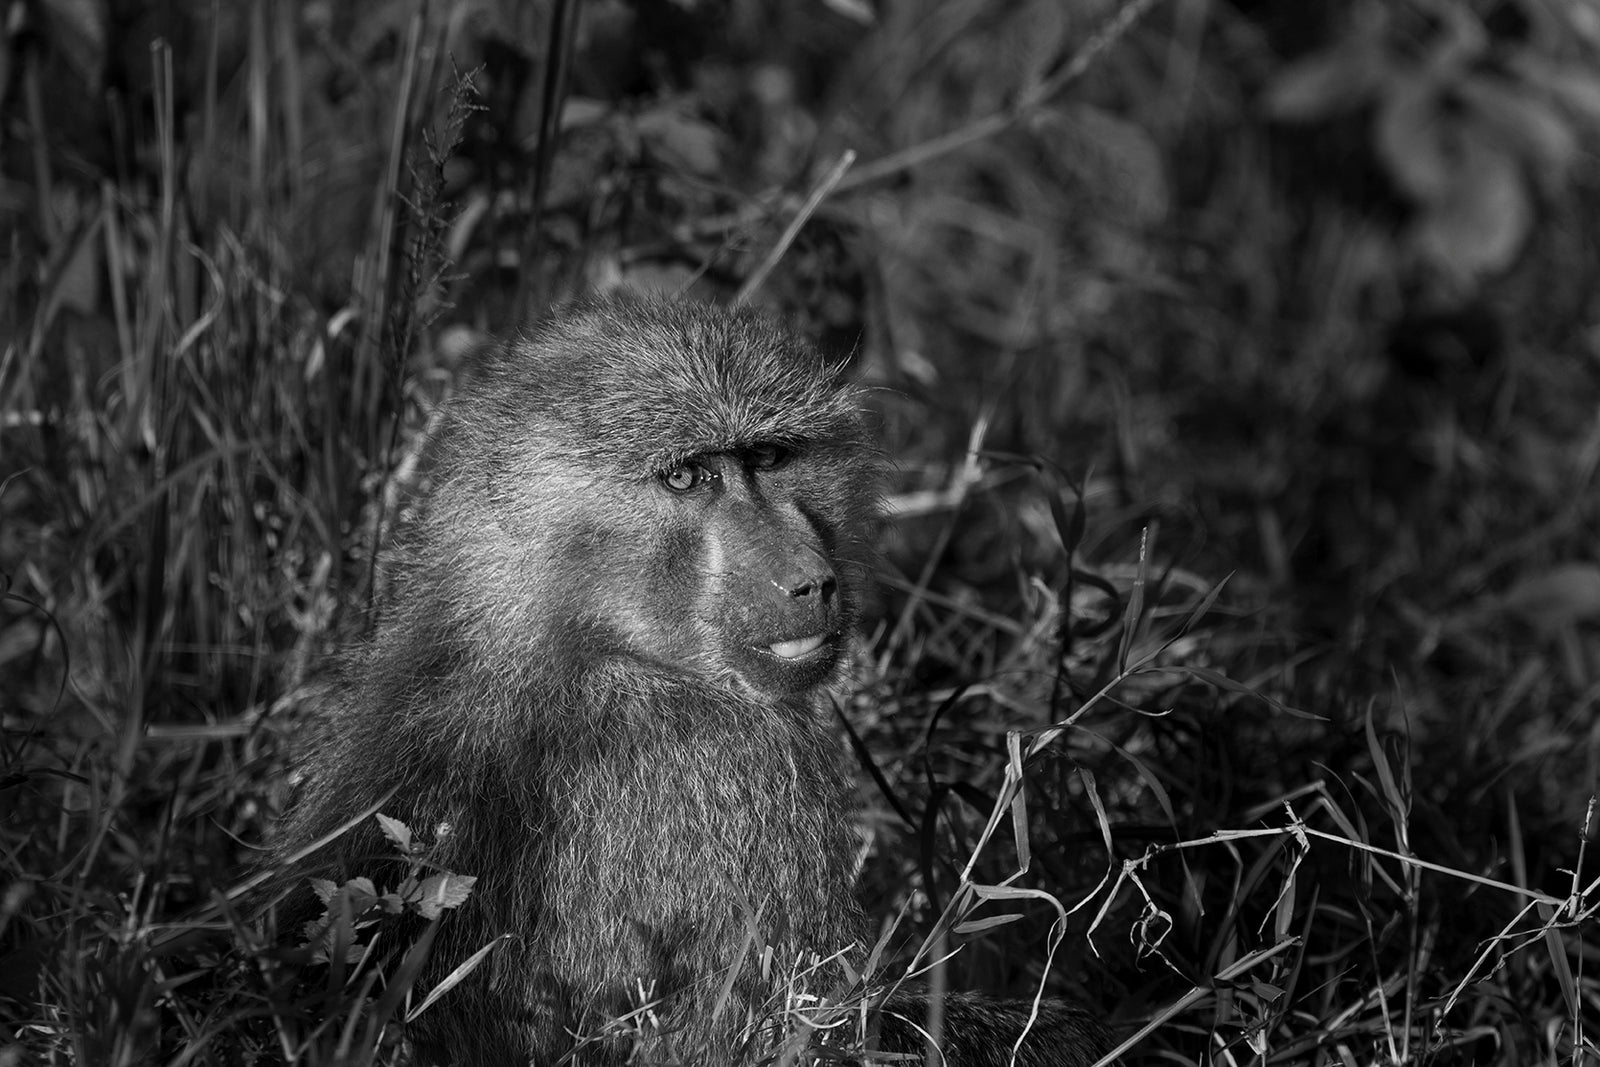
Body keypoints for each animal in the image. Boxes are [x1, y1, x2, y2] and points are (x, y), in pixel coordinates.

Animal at [271, 295, 1110, 1066]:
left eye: (768, 457)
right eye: (685, 476)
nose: (809, 581)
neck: (560, 629)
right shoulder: (723, 759)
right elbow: (801, 1034)